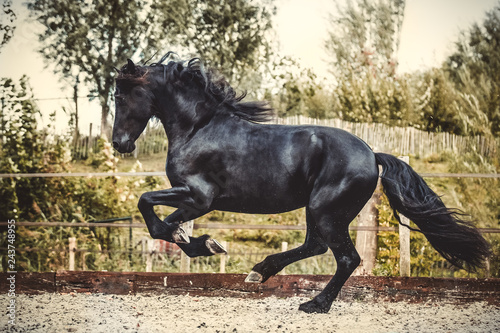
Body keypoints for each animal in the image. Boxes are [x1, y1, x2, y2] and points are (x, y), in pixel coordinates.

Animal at [111, 54, 490, 314]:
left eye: (120, 97)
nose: (119, 144)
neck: (197, 129)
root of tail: (372, 154)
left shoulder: (199, 197)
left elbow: (151, 211)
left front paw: (203, 244)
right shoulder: (194, 200)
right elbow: (160, 219)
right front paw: (202, 243)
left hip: (325, 210)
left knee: (345, 258)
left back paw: (315, 304)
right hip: (317, 209)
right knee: (316, 246)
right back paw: (261, 272)